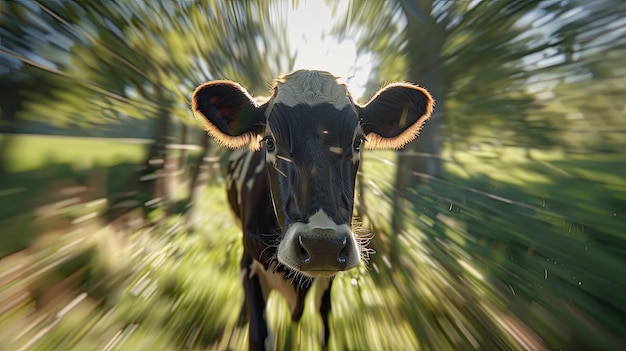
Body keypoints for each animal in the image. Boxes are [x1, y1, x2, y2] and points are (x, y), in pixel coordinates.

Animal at [191, 70, 434, 350]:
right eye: (269, 141)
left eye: (358, 141)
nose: (322, 247)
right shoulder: (251, 267)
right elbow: (259, 335)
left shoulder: (327, 282)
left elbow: (324, 329)